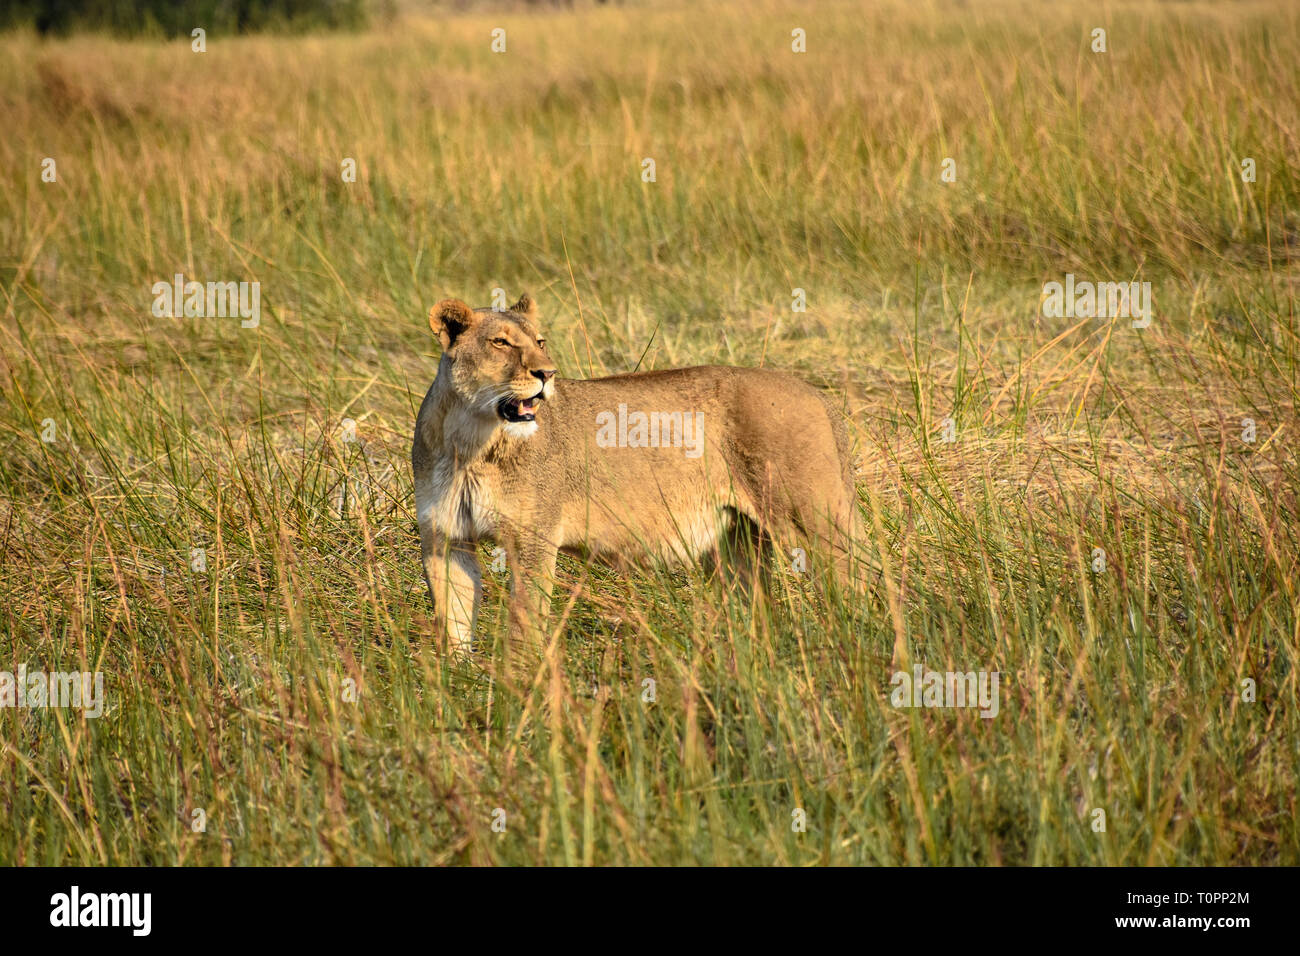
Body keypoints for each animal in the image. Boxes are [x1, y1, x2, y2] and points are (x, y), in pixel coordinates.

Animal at [412, 294, 861, 658]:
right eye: (501, 343)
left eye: (540, 342)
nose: (547, 374)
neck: (470, 441)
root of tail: (817, 394)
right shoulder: (444, 538)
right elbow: (451, 622)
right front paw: (454, 684)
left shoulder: (532, 539)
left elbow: (525, 624)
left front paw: (520, 686)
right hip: (737, 543)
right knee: (758, 611)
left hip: (812, 524)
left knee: (853, 586)